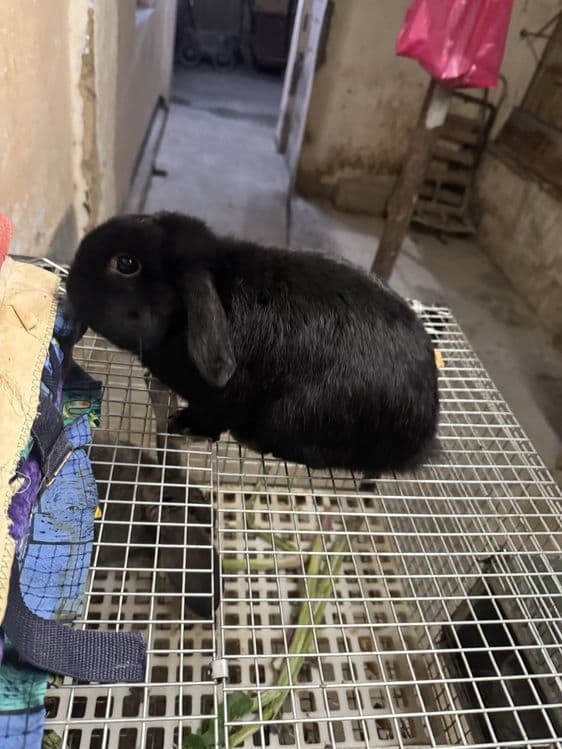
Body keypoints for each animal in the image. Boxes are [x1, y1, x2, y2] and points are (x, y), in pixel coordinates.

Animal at [67, 211, 439, 474]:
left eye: (126, 263)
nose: (71, 281)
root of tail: (422, 440)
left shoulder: (224, 402)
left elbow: (212, 417)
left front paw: (183, 424)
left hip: (293, 416)